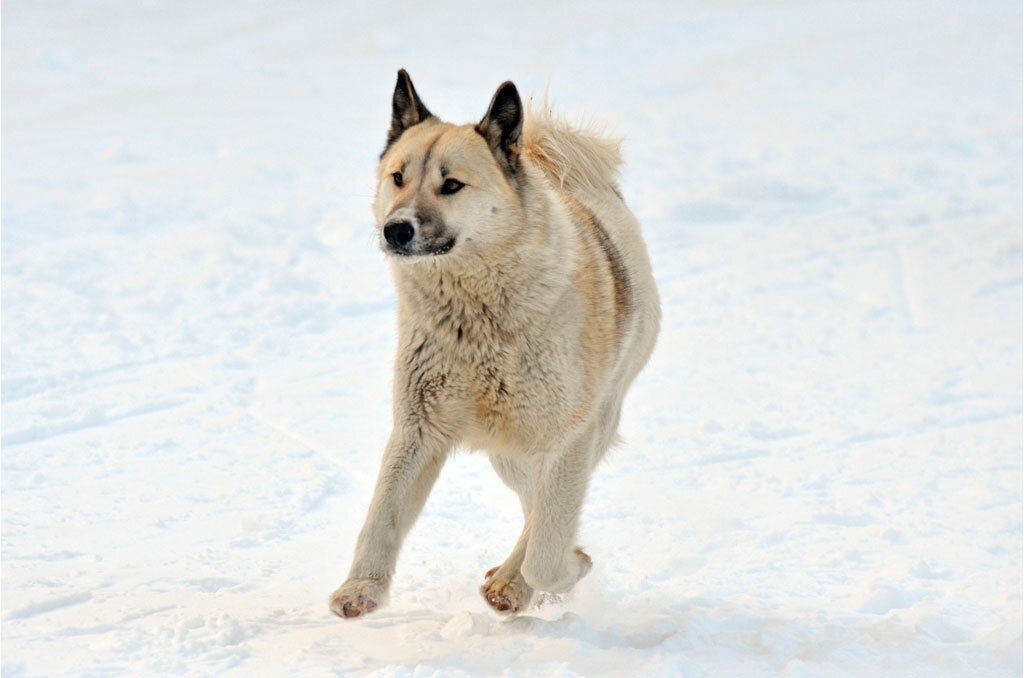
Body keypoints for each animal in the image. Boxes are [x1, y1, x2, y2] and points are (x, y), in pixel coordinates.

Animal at [331, 71, 659, 618]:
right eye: (398, 177)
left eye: (451, 185)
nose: (395, 229)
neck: (477, 321)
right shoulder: (417, 428)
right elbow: (381, 516)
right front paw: (361, 589)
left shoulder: (568, 438)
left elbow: (547, 552)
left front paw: (562, 569)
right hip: (512, 454)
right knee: (533, 503)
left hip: (577, 425)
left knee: (545, 517)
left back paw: (516, 581)